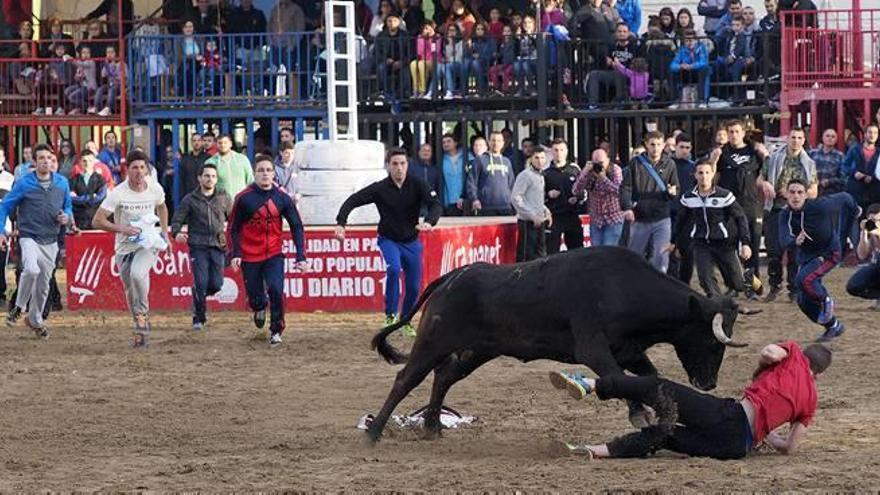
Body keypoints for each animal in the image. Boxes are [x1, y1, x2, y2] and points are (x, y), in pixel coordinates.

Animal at [368, 248, 744, 442]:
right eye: (711, 341)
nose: (708, 383)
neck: (622, 287)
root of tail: (451, 277)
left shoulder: (629, 351)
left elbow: (647, 378)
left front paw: (651, 413)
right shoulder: (593, 350)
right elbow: (620, 378)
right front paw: (642, 415)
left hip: (477, 351)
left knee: (444, 376)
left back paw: (432, 427)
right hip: (433, 341)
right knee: (407, 378)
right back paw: (374, 431)